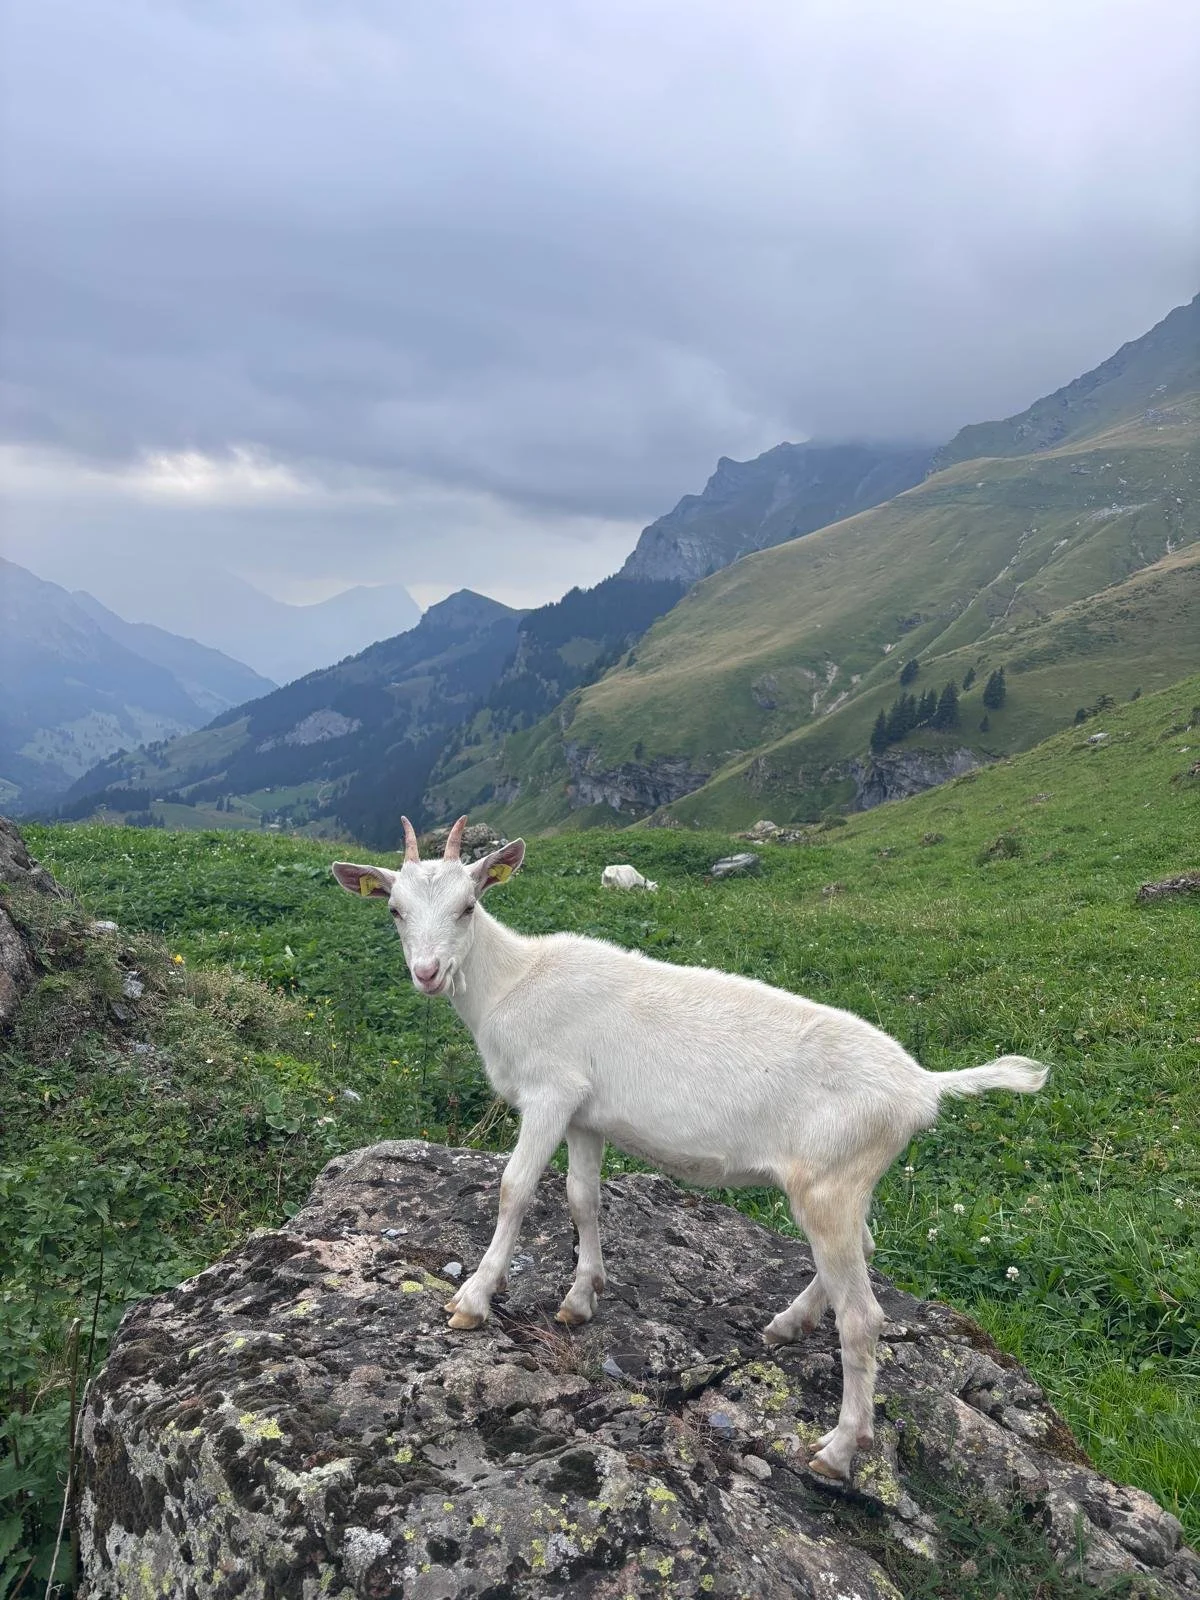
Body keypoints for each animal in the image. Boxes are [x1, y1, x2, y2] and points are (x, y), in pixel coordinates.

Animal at [332, 816, 1047, 1481]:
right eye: (394, 909)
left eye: (468, 905)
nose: (427, 974)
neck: (513, 983)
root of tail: (922, 1087)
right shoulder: (585, 1112)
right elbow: (582, 1198)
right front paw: (580, 1299)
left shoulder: (550, 1092)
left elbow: (515, 1188)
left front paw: (472, 1301)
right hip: (845, 1182)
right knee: (865, 1248)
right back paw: (787, 1324)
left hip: (829, 1183)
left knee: (863, 1316)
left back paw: (838, 1450)